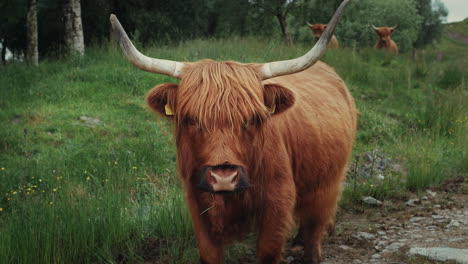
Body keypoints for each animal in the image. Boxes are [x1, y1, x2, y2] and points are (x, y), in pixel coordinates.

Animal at [112, 1, 354, 262]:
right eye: (191, 120)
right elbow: (209, 252)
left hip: (328, 182)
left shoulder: (277, 203)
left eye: (251, 119)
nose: (223, 178)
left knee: (315, 224)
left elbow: (268, 250)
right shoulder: (197, 202)